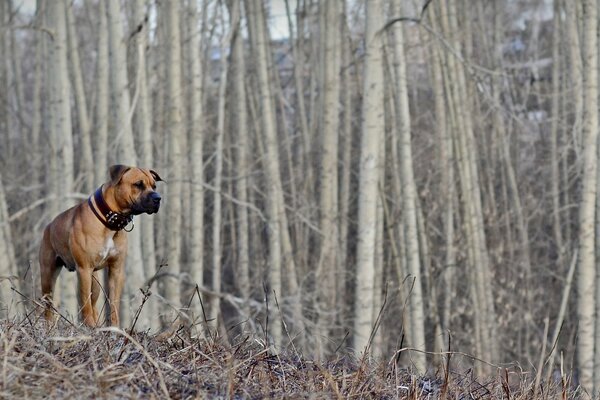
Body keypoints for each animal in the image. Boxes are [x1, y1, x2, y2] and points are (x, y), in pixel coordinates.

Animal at [40, 164, 163, 326]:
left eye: (154, 186)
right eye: (138, 184)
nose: (158, 198)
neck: (109, 220)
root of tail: (49, 226)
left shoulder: (116, 270)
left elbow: (113, 304)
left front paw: (114, 328)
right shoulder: (84, 269)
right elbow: (85, 305)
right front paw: (89, 326)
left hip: (95, 281)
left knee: (93, 304)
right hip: (48, 276)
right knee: (48, 306)